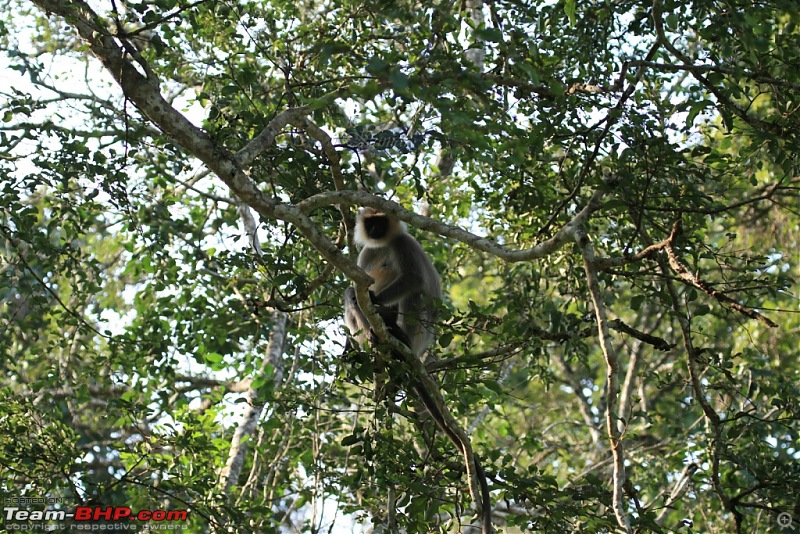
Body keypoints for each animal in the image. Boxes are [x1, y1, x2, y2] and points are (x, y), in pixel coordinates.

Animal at [344, 207, 444, 358]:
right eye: (370, 222)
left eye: (381, 221)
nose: (375, 228)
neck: (383, 243)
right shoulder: (367, 251)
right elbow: (358, 287)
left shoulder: (402, 242)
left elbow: (414, 278)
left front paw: (374, 298)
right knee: (351, 293)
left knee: (414, 292)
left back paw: (399, 334)